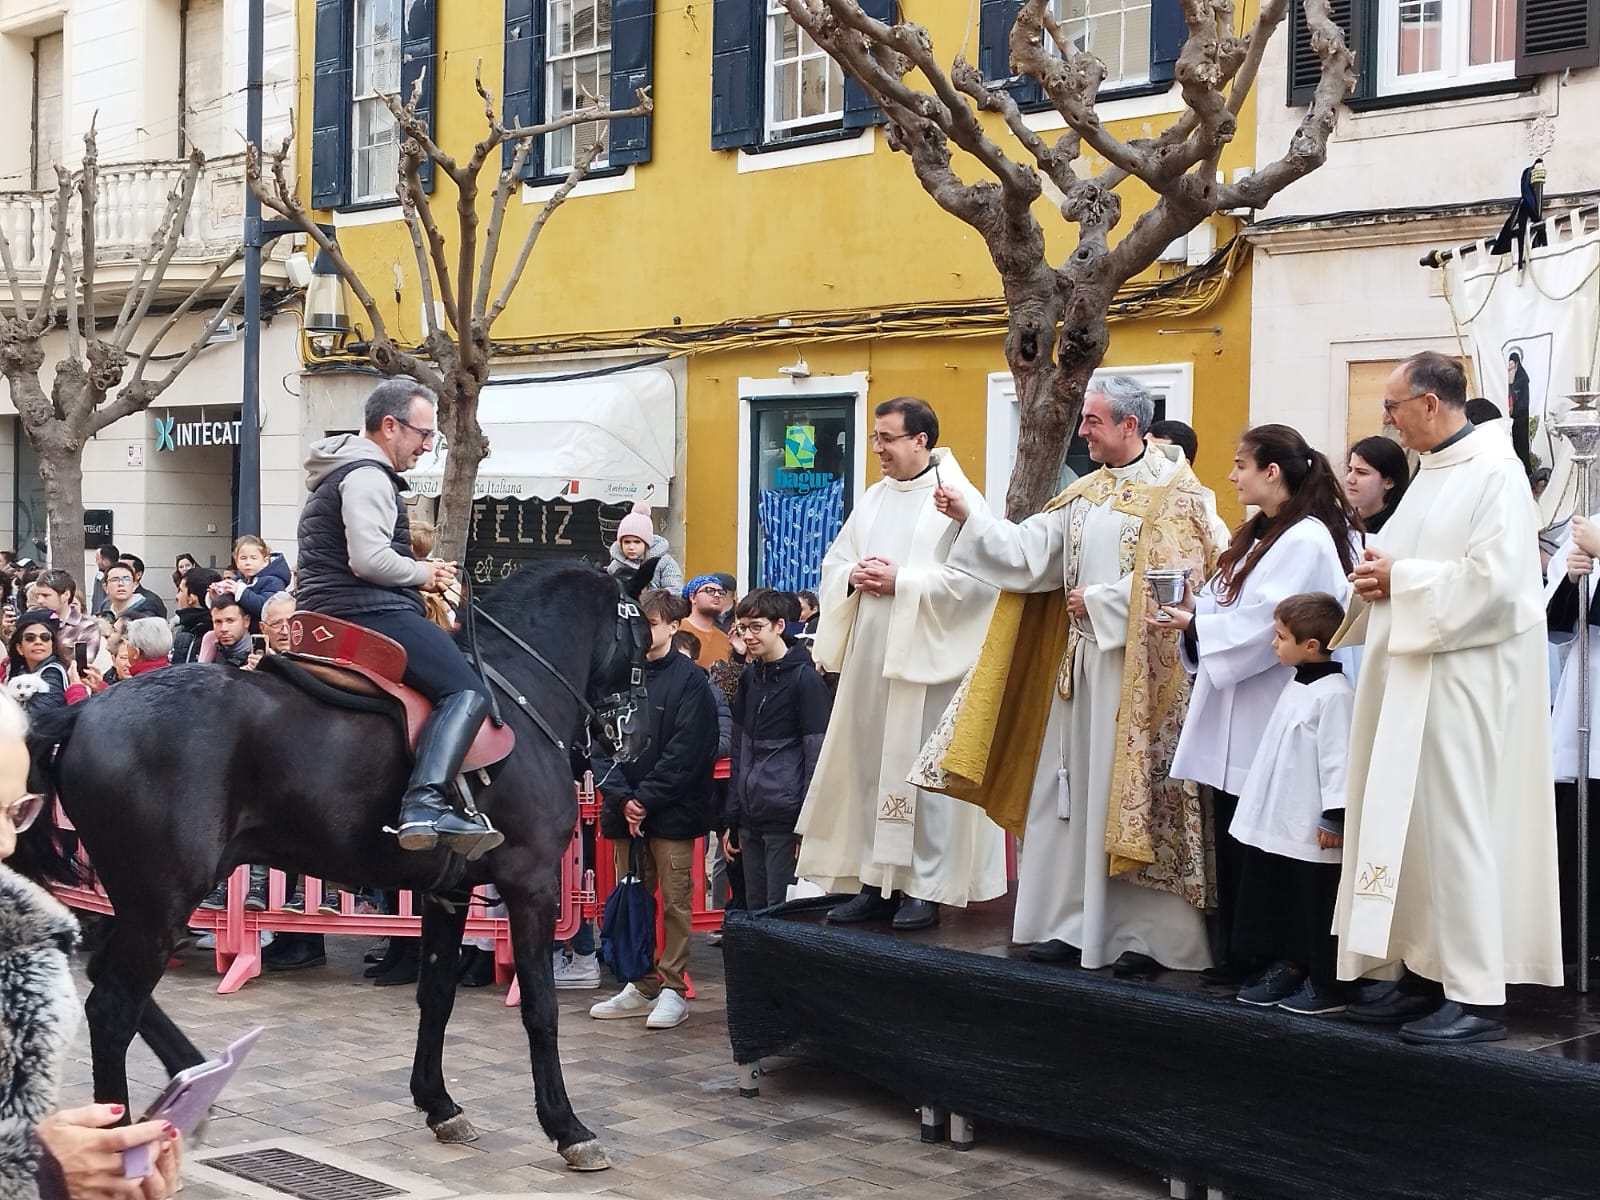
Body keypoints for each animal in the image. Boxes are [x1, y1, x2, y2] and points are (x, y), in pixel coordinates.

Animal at [15, 563, 652, 1177]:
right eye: (642, 635)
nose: (632, 734)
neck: (517, 696)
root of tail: (85, 711)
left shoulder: (447, 893)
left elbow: (437, 993)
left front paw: (439, 1103)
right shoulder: (532, 885)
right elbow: (540, 1008)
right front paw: (568, 1128)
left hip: (141, 899)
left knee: (108, 979)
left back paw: (192, 1079)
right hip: (161, 898)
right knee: (112, 1006)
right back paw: (124, 1140)